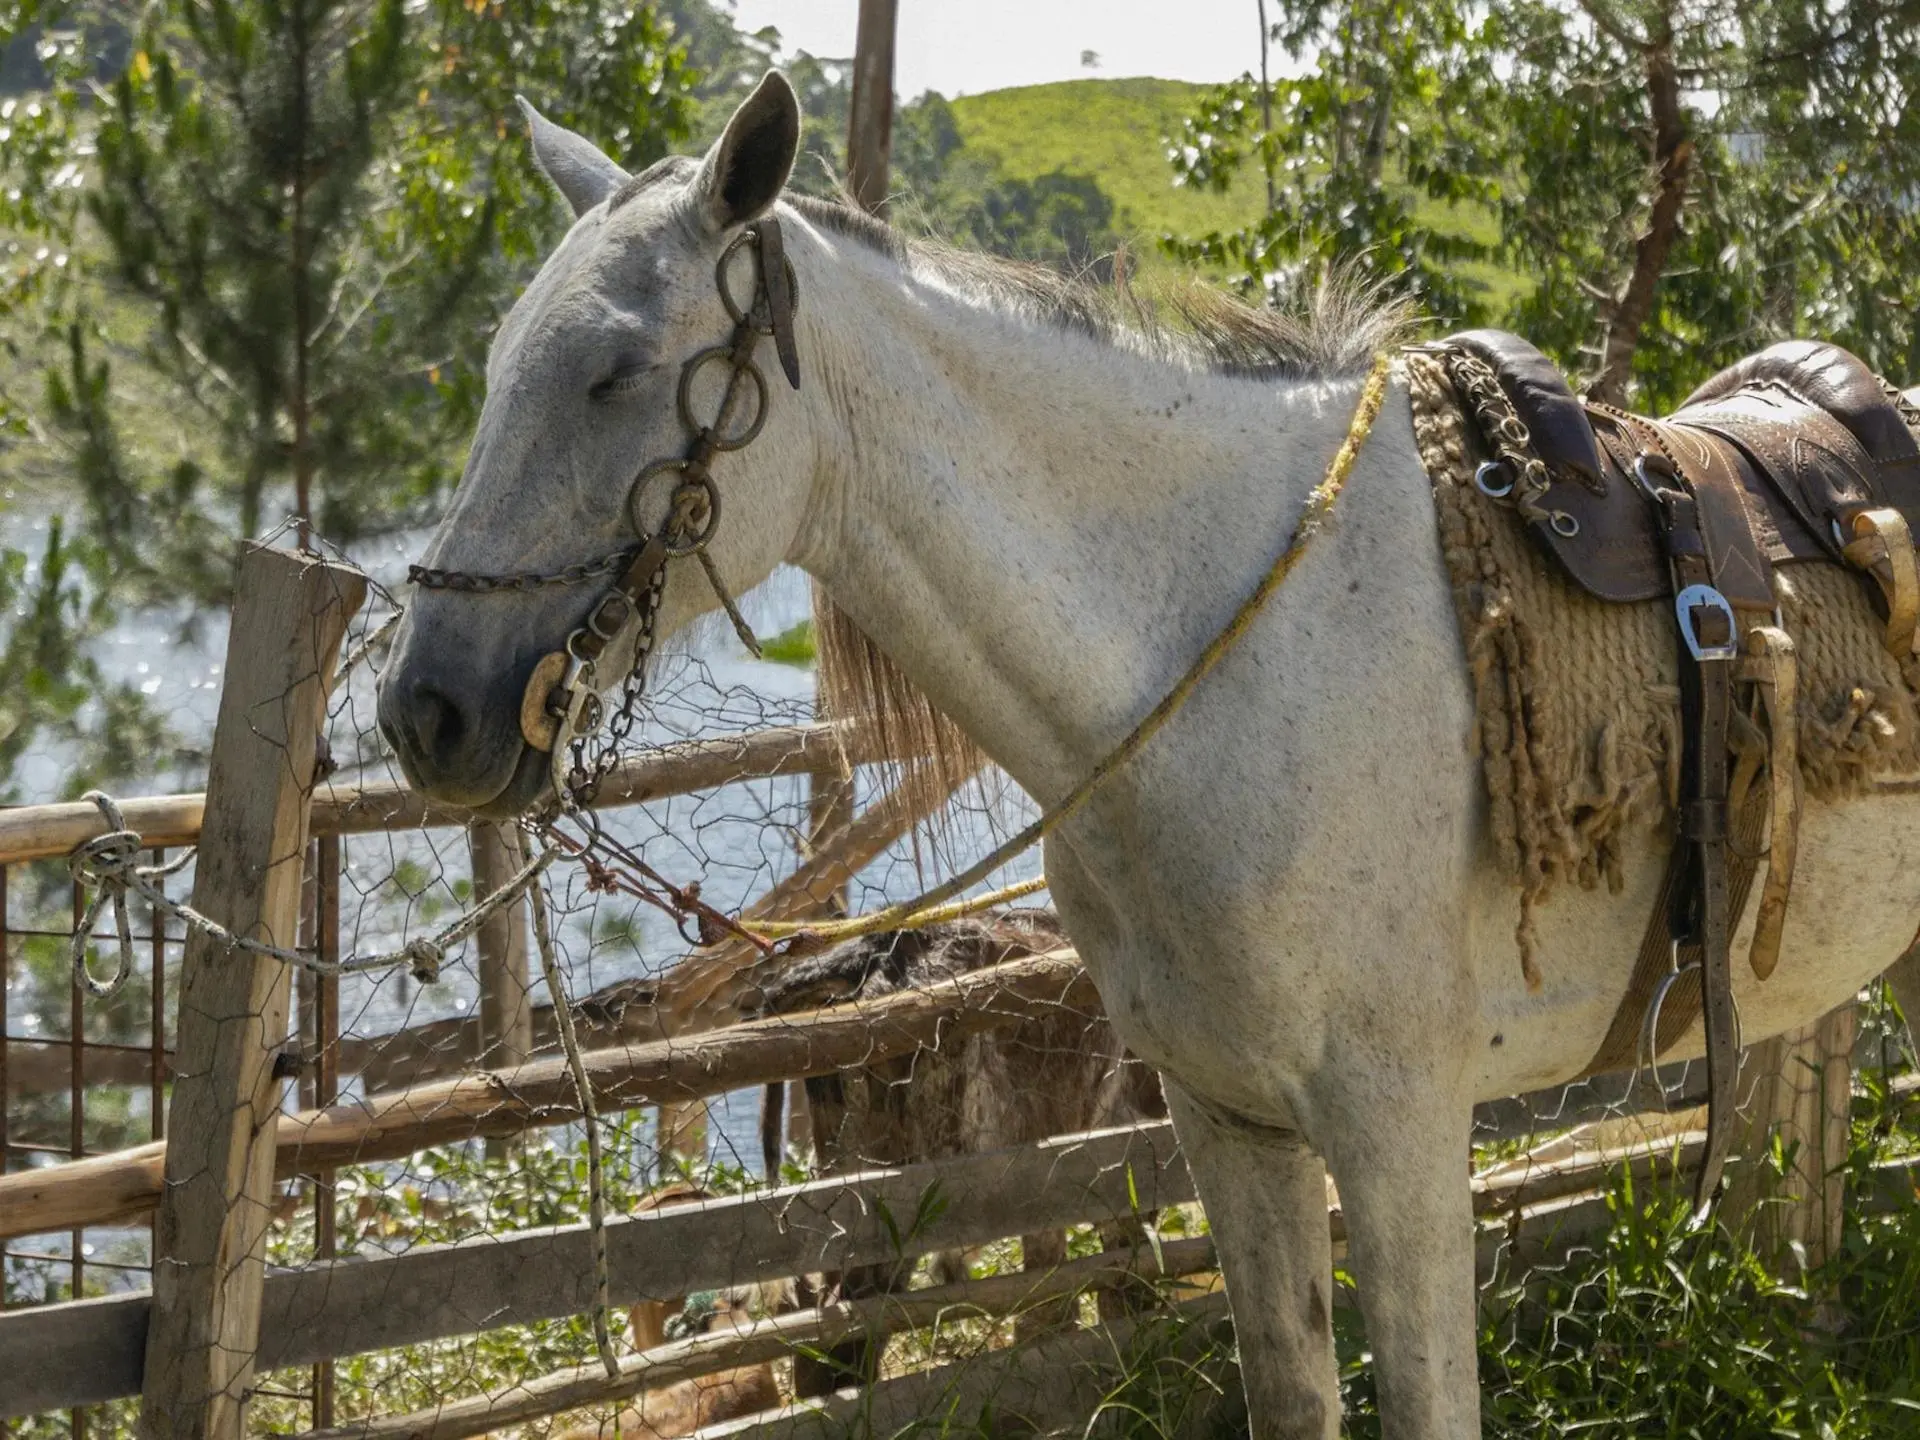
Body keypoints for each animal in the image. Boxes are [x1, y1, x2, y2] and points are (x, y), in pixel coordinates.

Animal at [378, 73, 1920, 1436]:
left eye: (613, 372)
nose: (424, 715)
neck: (1236, 665)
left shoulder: (1403, 1135)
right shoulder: (1228, 1122)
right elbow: (1291, 1394)